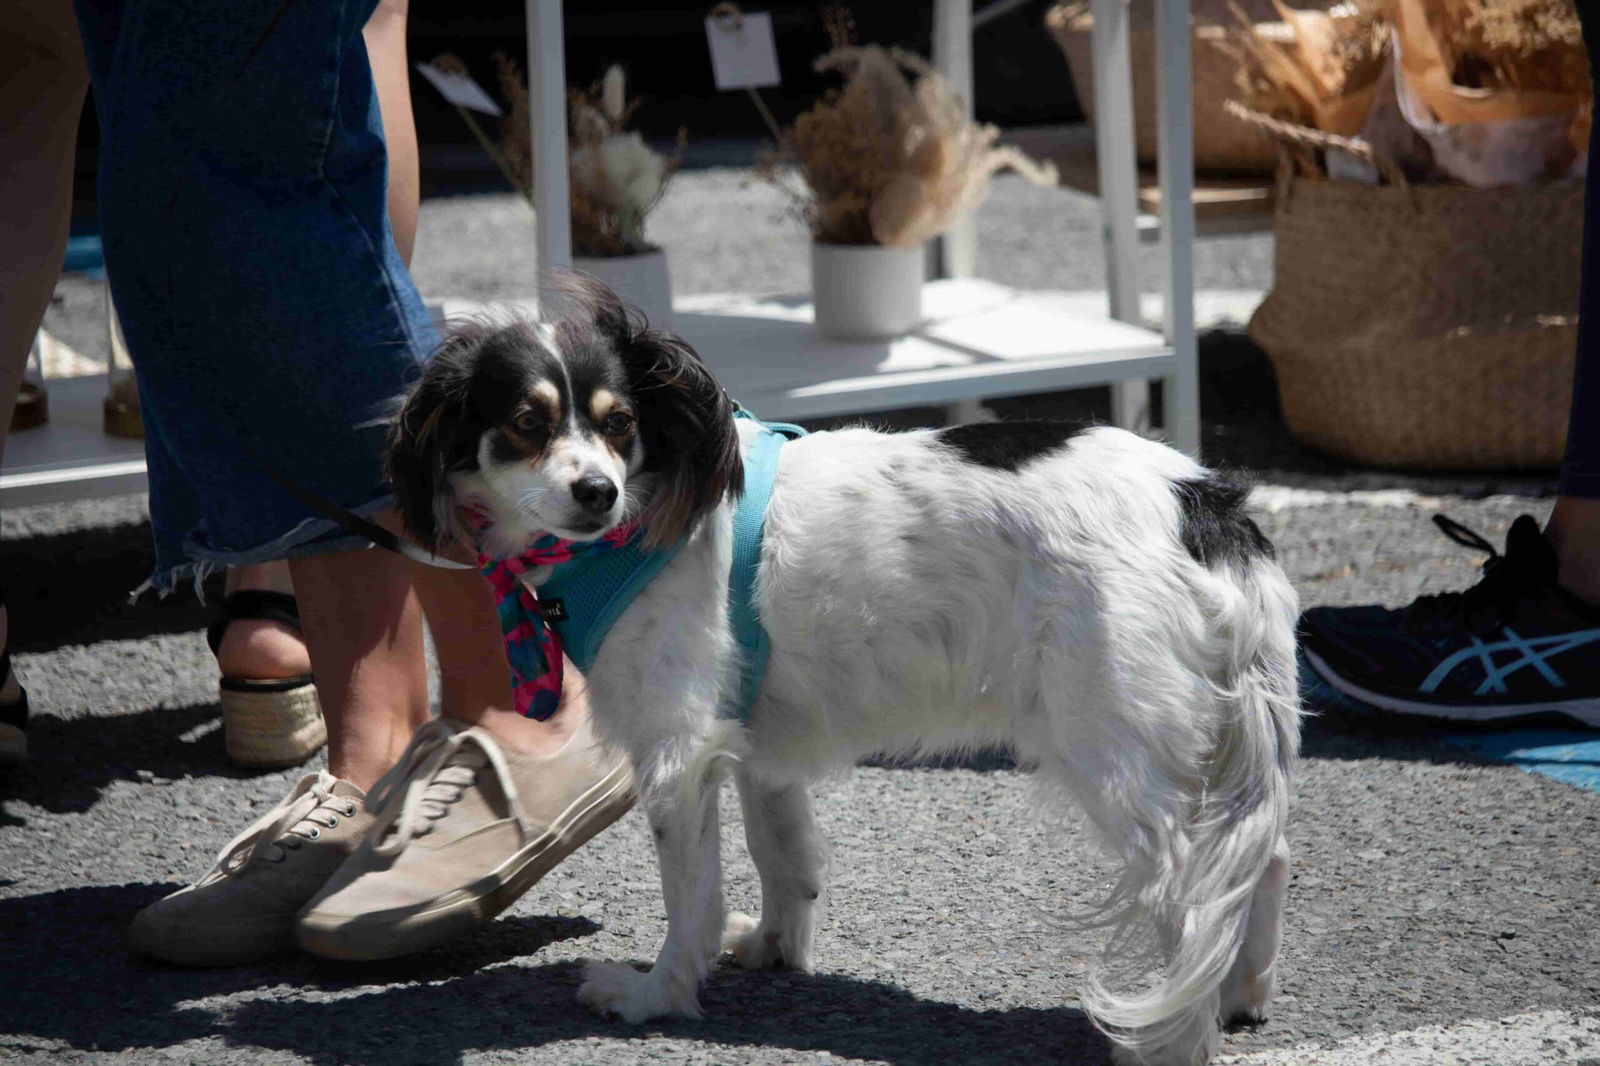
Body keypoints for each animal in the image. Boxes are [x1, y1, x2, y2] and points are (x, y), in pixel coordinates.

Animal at [387, 278, 1299, 1056]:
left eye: (619, 425)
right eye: (527, 422)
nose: (596, 494)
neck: (642, 516)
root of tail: (1205, 504)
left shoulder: (678, 754)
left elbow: (691, 896)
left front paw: (656, 996)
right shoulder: (754, 744)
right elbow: (781, 852)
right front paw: (772, 947)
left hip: (1108, 745)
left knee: (1192, 895)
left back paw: (1173, 1040)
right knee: (1260, 861)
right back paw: (1238, 995)